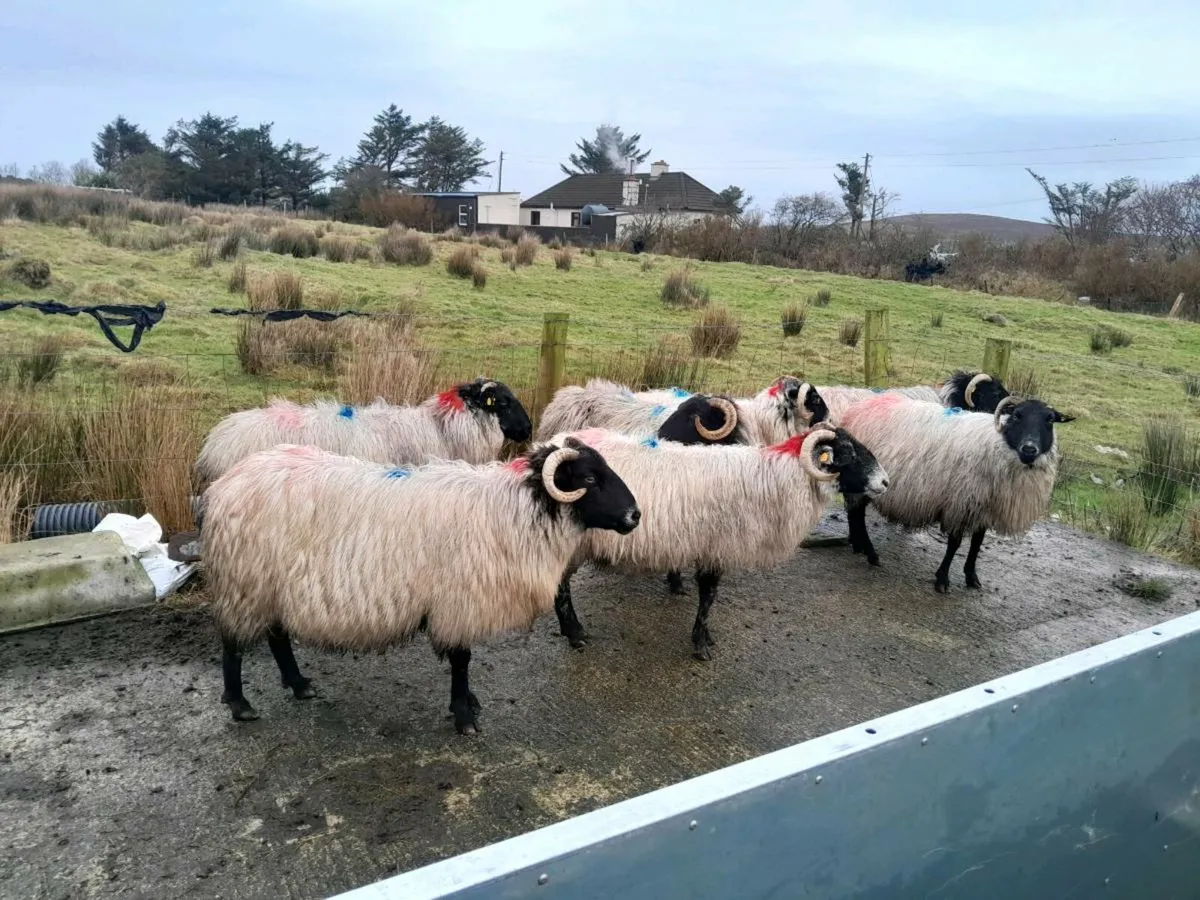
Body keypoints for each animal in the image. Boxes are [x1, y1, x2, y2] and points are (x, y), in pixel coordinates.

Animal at [200, 437, 640, 733]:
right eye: (589, 477)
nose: (635, 515)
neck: (513, 511)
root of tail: (223, 485)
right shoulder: (456, 603)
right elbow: (462, 660)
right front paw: (464, 715)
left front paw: (468, 704)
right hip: (245, 583)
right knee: (233, 646)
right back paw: (240, 705)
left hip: (269, 587)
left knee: (276, 637)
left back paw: (298, 684)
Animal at [548, 423, 889, 660]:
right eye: (848, 452)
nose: (885, 481)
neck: (774, 477)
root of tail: (552, 443)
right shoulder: (717, 547)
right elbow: (708, 597)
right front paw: (701, 644)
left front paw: (704, 636)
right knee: (560, 587)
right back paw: (574, 633)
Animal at [835, 393, 1075, 592]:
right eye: (1017, 415)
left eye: (1050, 420)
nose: (1029, 449)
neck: (996, 445)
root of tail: (857, 408)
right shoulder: (960, 502)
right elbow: (955, 543)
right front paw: (942, 580)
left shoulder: (984, 507)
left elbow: (977, 543)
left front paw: (971, 576)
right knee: (857, 514)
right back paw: (870, 553)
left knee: (853, 514)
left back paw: (858, 546)